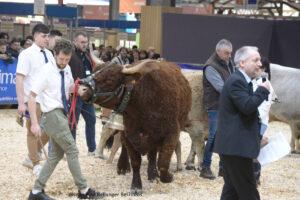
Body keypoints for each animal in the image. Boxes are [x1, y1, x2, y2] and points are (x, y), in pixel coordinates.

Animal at [77, 59, 191, 192]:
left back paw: (152, 175)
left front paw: (167, 177)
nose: (81, 89)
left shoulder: (172, 133)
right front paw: (136, 186)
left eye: (110, 79)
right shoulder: (129, 134)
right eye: (94, 71)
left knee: (152, 155)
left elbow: (162, 162)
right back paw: (123, 167)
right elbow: (136, 162)